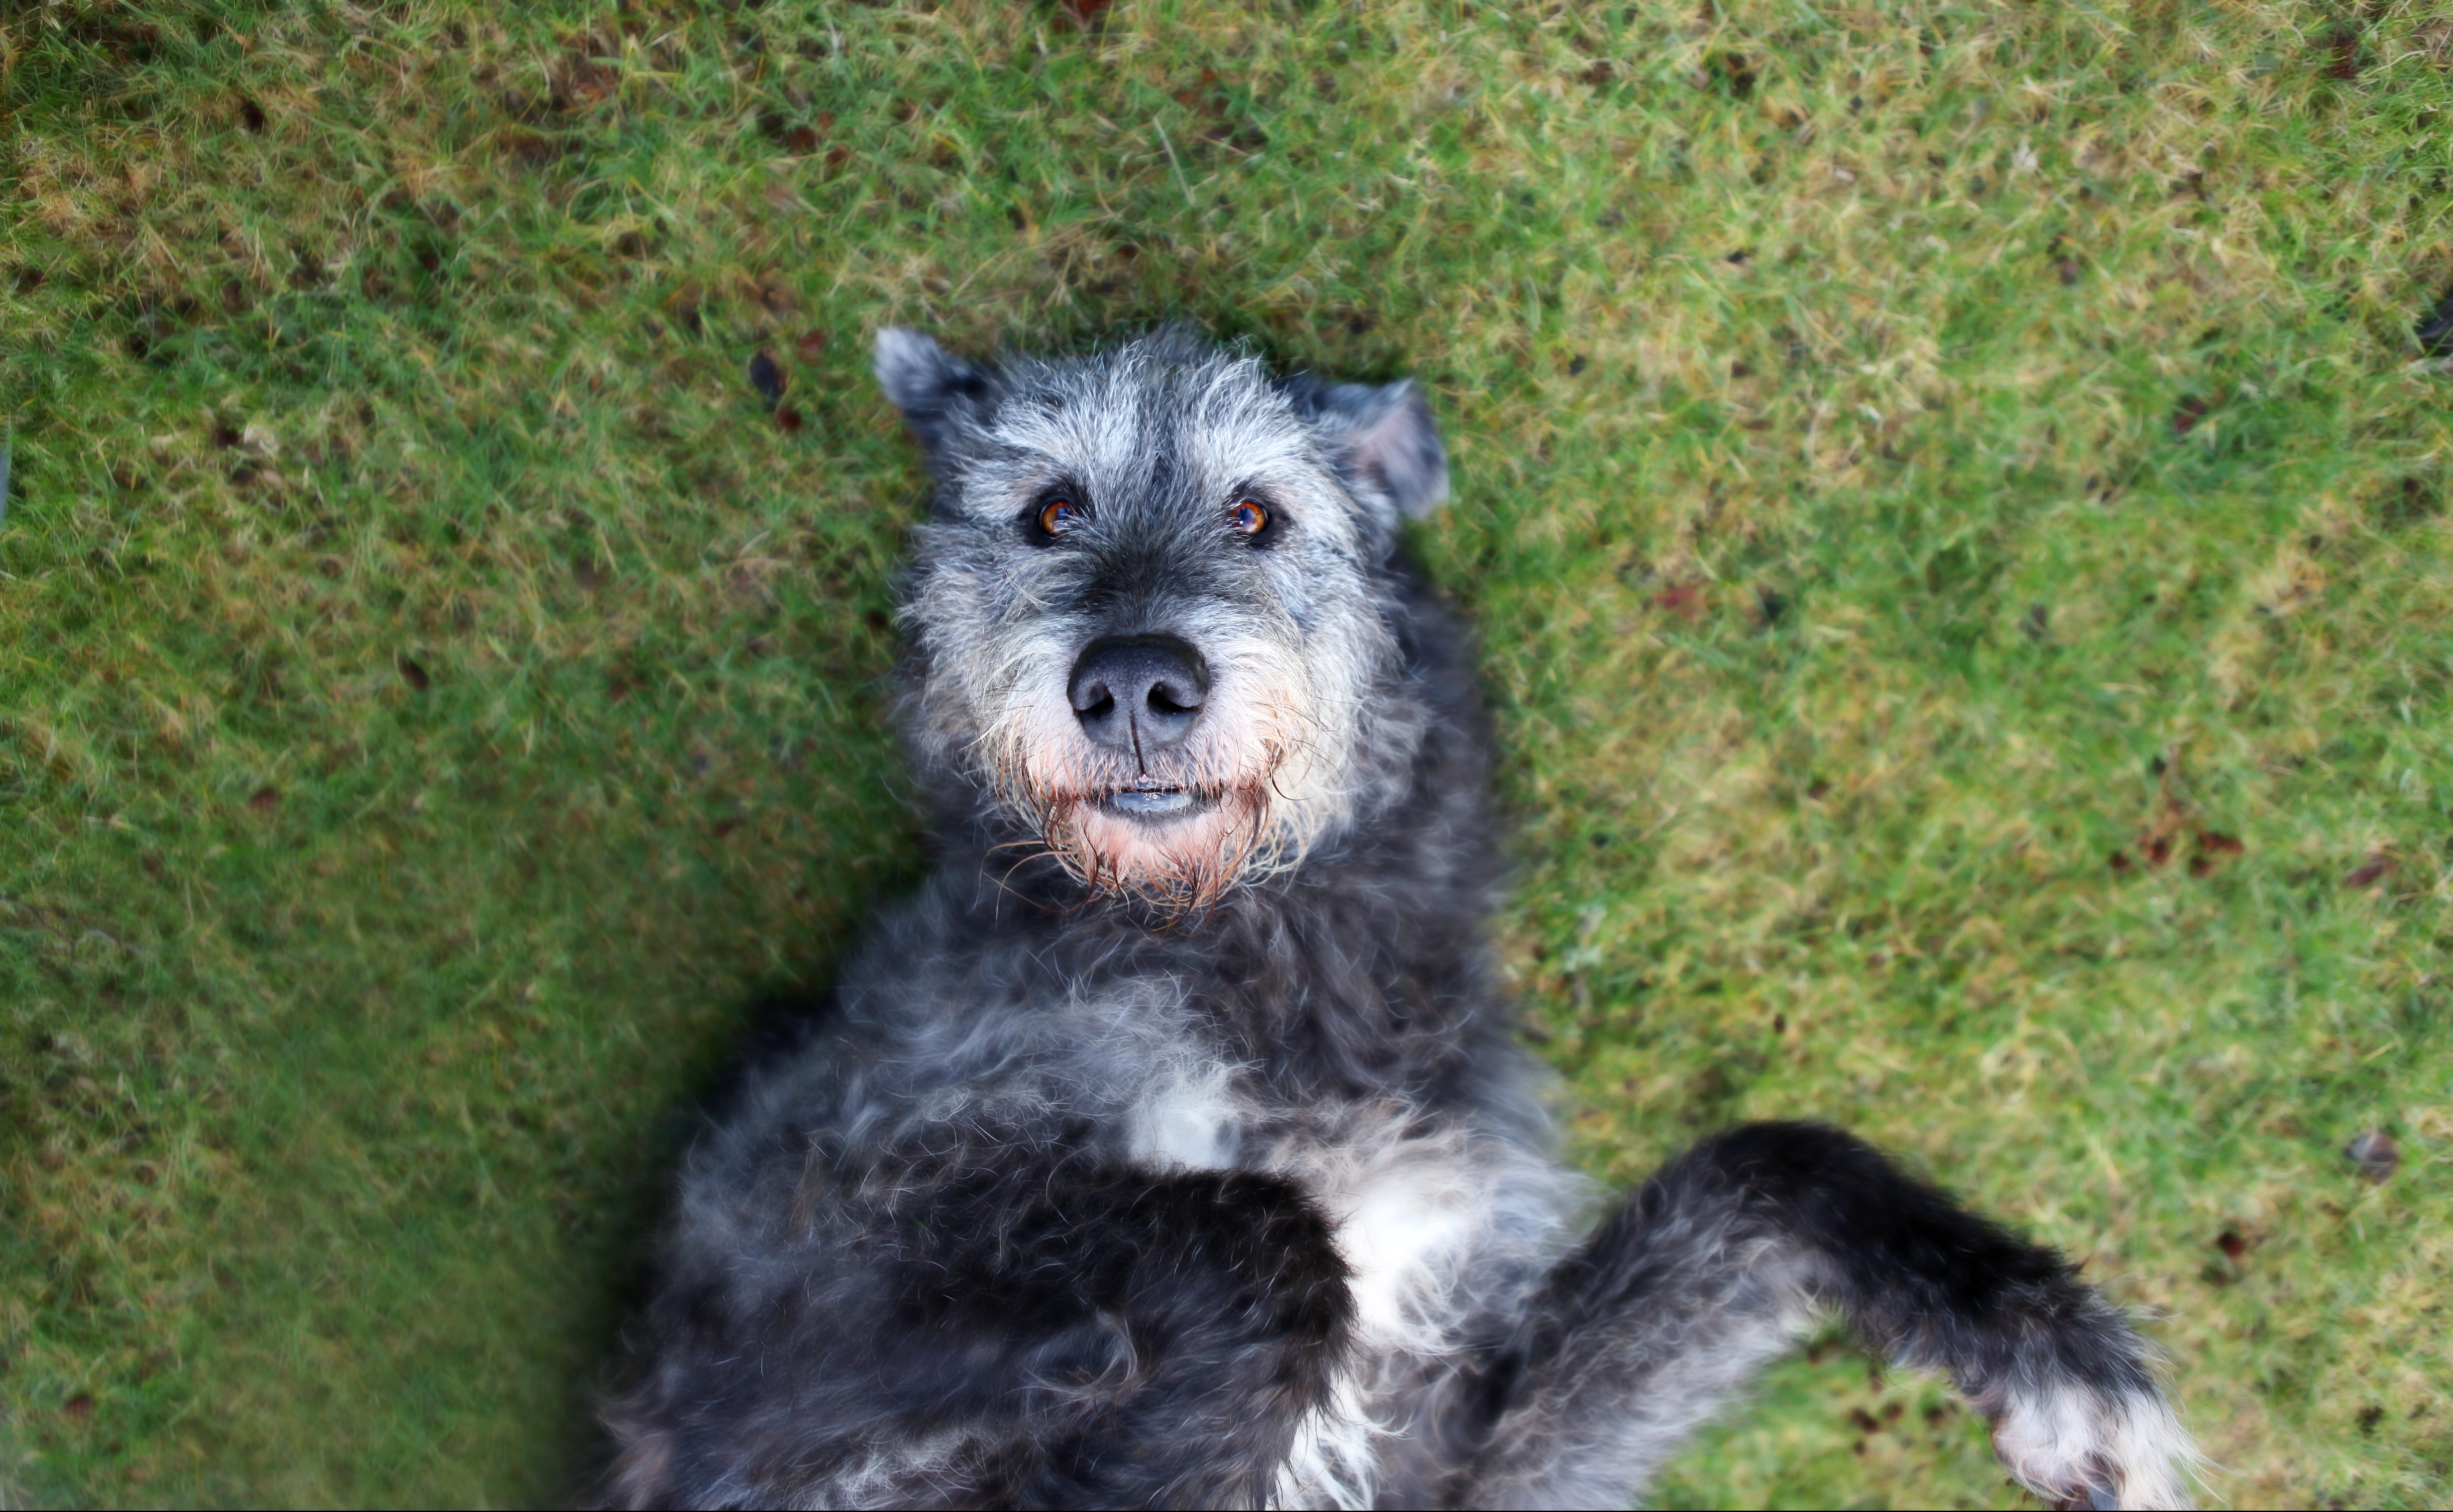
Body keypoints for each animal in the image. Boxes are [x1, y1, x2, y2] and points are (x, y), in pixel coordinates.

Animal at [598, 324, 2207, 1502]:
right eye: (1050, 512)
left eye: (1257, 512)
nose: (1134, 678)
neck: (1256, 952)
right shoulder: (781, 1247)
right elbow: (1259, 1233)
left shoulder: (1460, 1443)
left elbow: (1766, 1168)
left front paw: (2047, 1353)